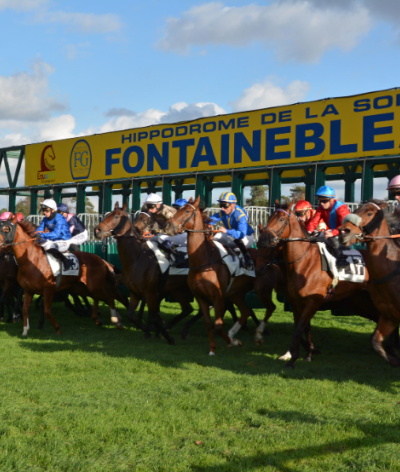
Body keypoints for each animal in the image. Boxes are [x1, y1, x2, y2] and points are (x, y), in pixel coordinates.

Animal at [164, 195, 280, 354]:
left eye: (187, 211)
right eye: (178, 209)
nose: (168, 226)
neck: (204, 261)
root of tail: (271, 262)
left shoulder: (217, 296)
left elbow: (218, 325)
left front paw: (230, 342)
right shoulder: (200, 296)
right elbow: (208, 322)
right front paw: (214, 348)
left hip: (262, 291)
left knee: (270, 307)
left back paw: (258, 335)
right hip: (236, 293)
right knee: (246, 311)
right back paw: (233, 333)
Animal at [260, 201, 376, 366]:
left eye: (282, 219)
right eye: (269, 217)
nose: (262, 239)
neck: (304, 262)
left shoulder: (313, 302)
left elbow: (299, 329)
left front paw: (295, 358)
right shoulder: (297, 302)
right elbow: (303, 328)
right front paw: (306, 353)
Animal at [340, 199, 400, 366]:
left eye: (369, 213)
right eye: (357, 209)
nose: (344, 231)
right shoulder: (389, 315)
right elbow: (375, 342)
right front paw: (394, 360)